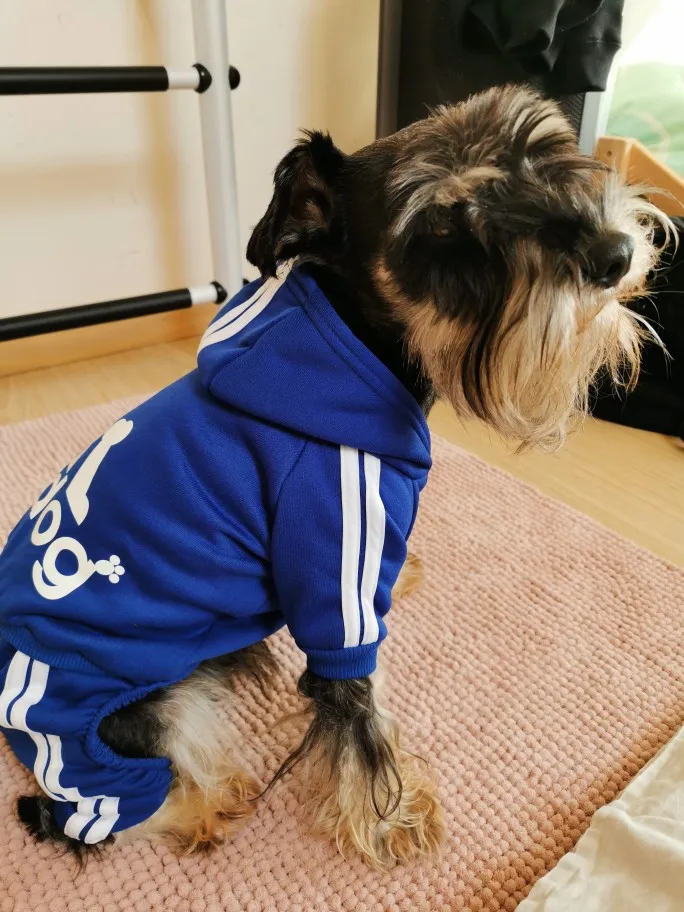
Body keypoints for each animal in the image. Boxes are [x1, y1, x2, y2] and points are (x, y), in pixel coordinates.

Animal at [0, 85, 669, 869]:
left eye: (541, 147)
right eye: (442, 220)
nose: (614, 254)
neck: (351, 350)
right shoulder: (334, 577)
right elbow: (359, 711)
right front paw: (390, 818)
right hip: (116, 721)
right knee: (95, 812)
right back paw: (208, 805)